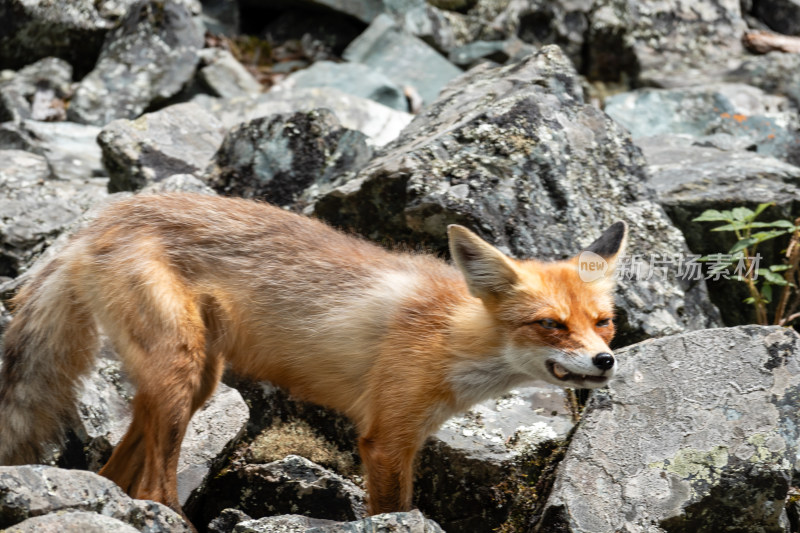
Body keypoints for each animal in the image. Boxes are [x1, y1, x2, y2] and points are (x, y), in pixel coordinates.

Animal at [0, 192, 624, 524]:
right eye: (550, 324)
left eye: (603, 322)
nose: (605, 362)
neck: (450, 334)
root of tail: (94, 225)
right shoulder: (386, 439)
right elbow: (390, 512)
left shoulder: (407, 435)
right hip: (181, 374)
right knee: (152, 490)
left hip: (195, 383)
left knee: (115, 477)